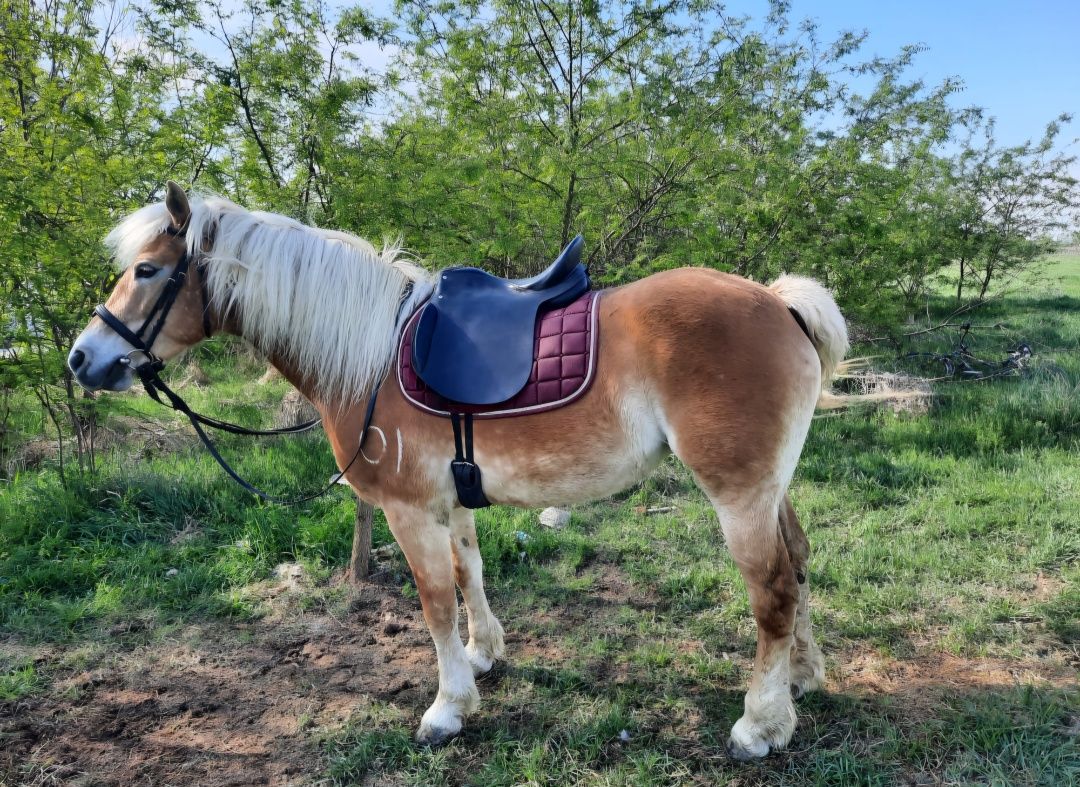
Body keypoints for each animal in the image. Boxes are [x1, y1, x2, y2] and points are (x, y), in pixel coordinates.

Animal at [71, 181, 851, 760]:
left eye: (146, 270)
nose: (83, 359)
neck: (371, 350)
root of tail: (778, 301)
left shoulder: (408, 508)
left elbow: (434, 598)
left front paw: (448, 707)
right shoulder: (451, 499)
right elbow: (469, 570)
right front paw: (482, 656)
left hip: (738, 495)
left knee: (773, 590)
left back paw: (761, 723)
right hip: (770, 490)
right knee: (800, 562)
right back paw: (803, 677)